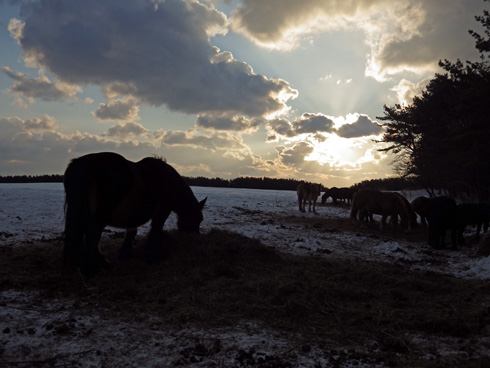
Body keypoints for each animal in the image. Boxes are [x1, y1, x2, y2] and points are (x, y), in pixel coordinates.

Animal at [62, 152, 207, 276]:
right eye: (198, 218)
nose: (195, 235)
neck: (168, 181)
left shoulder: (134, 217)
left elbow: (131, 232)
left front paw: (125, 255)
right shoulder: (161, 213)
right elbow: (155, 232)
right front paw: (154, 257)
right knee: (92, 233)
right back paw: (96, 267)